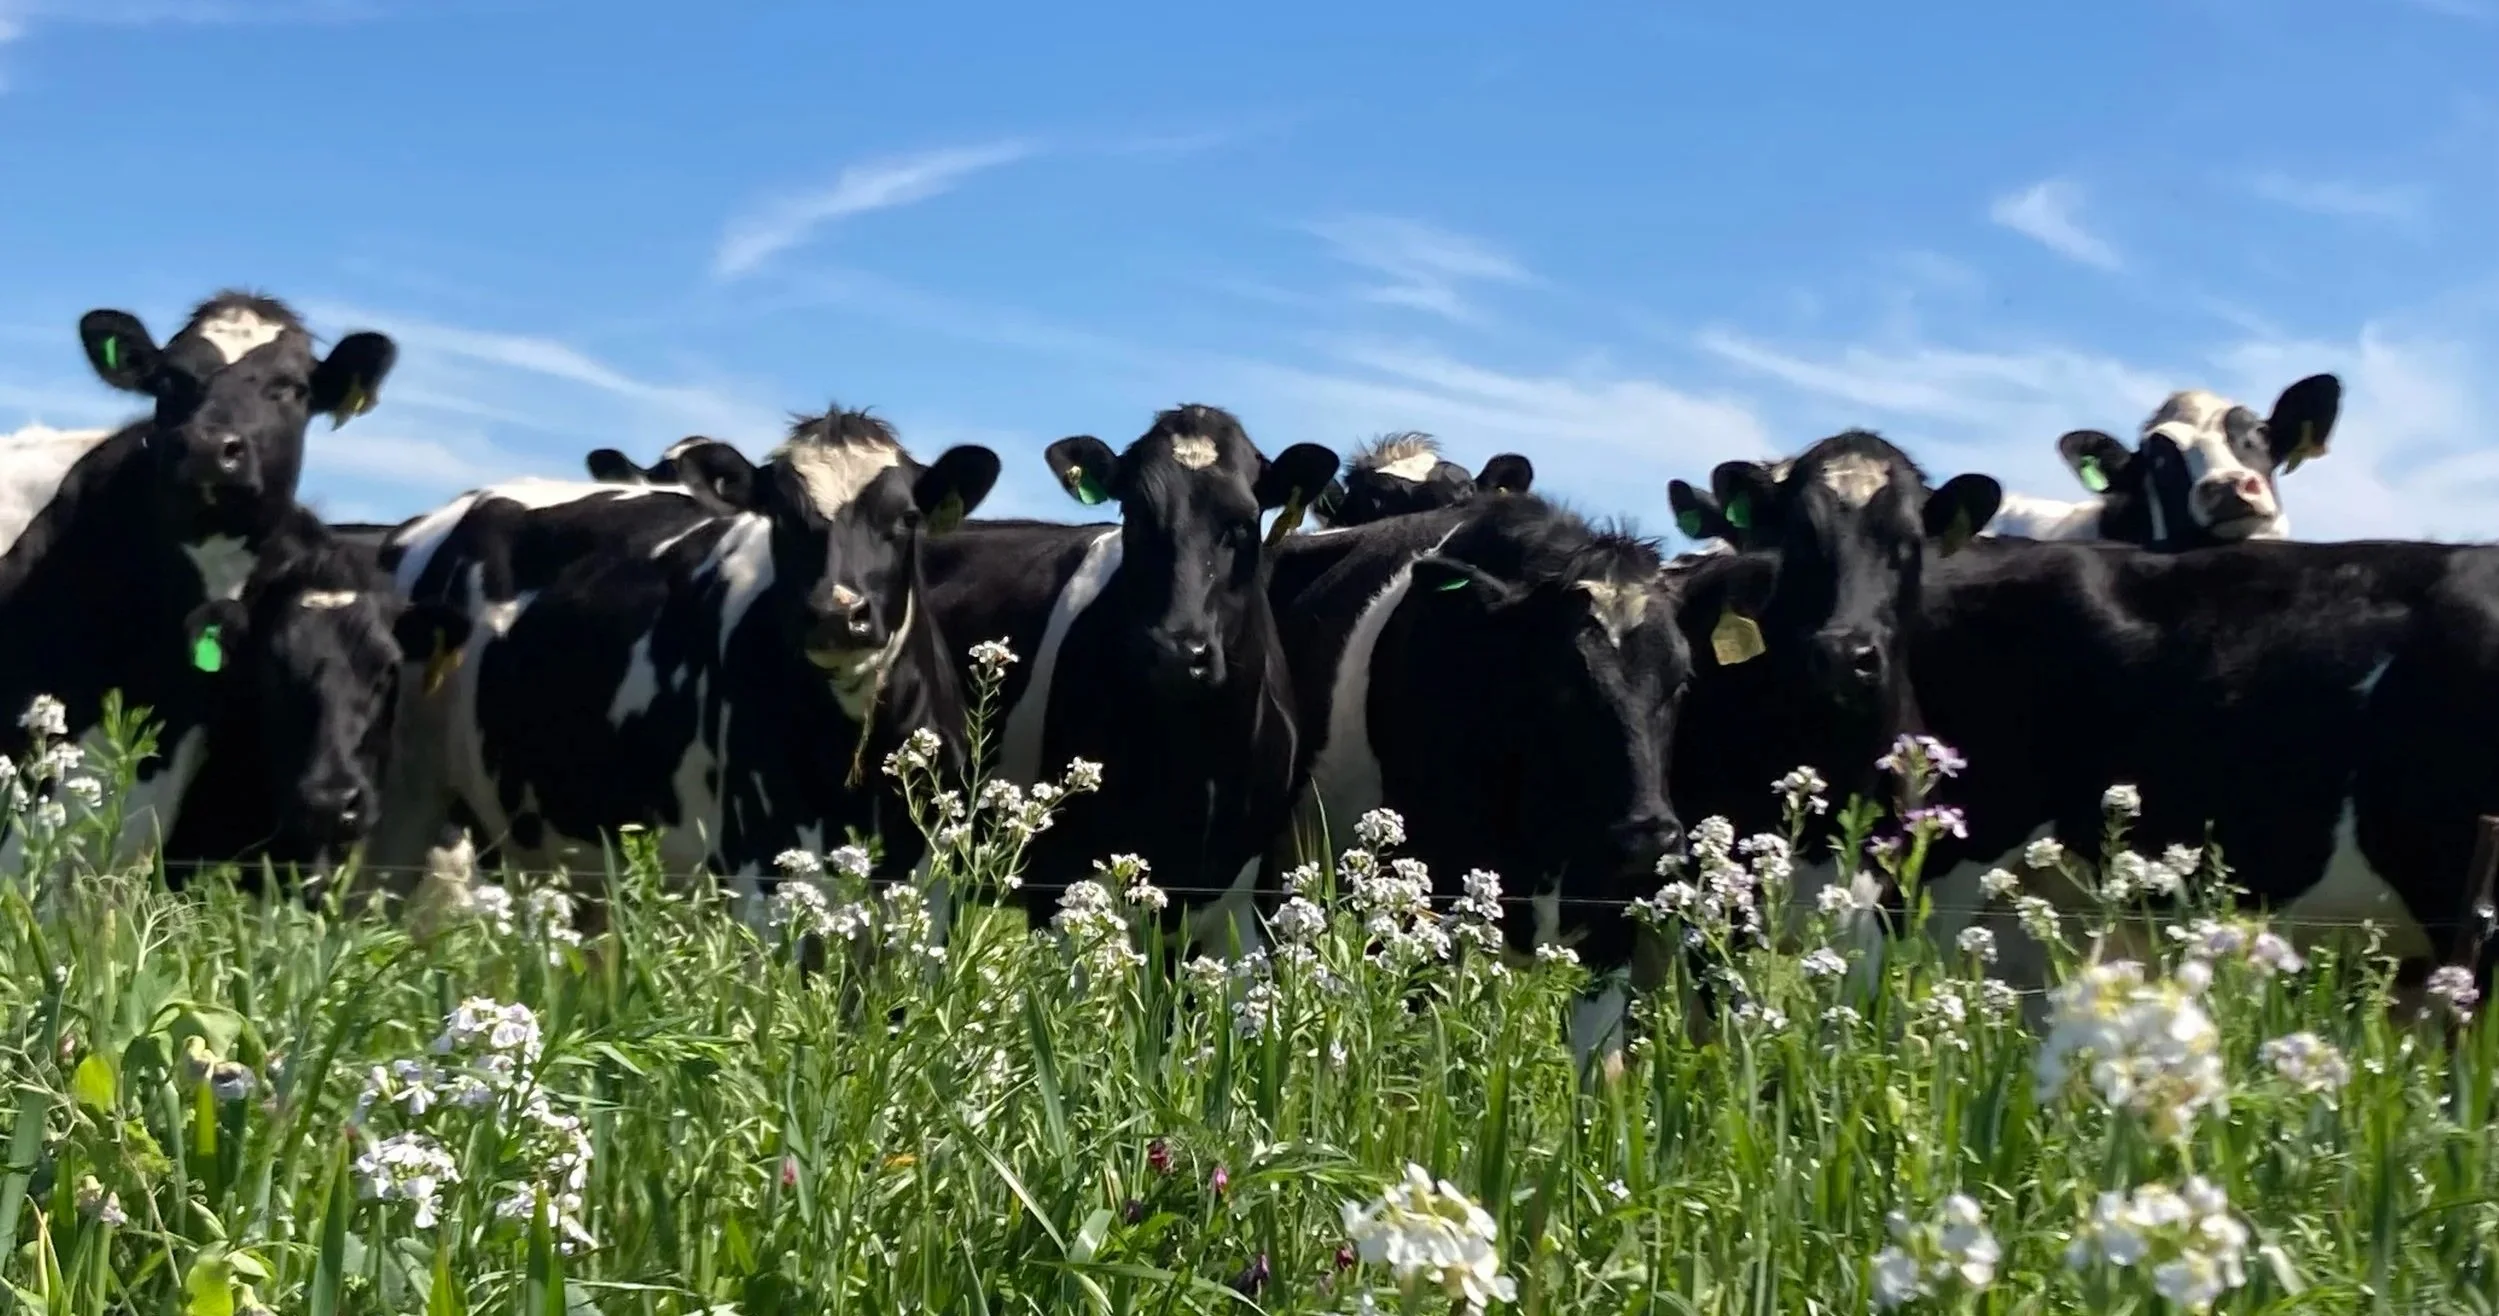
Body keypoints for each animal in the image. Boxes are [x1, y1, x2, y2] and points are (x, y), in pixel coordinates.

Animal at [374, 407, 999, 898]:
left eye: (907, 517)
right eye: (780, 517)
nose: (835, 613)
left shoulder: (928, 882)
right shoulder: (763, 865)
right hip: (401, 807)